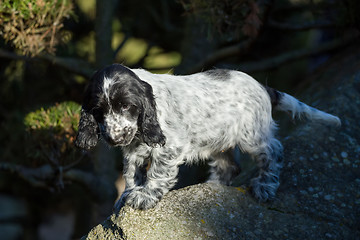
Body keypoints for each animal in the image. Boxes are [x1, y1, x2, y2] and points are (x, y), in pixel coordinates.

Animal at [75, 63, 340, 210]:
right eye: (98, 111)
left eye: (126, 106)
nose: (115, 138)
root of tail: (262, 86)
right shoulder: (132, 150)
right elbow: (131, 173)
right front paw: (128, 194)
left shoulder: (169, 147)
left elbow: (157, 173)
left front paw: (145, 196)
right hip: (219, 143)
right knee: (230, 167)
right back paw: (211, 189)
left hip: (252, 135)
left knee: (274, 151)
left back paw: (265, 186)